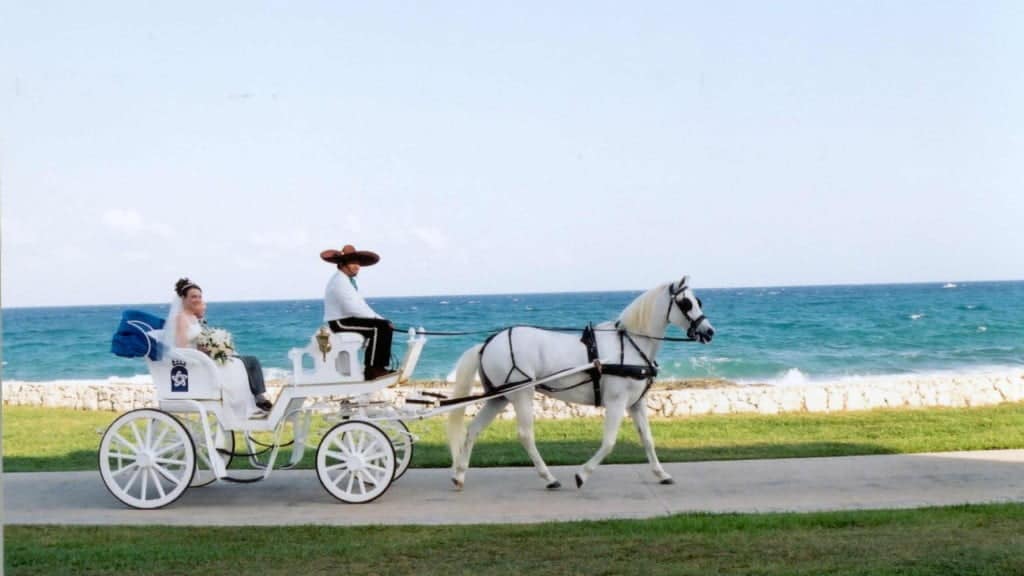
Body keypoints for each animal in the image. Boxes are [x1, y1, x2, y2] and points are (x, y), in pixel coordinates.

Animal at [452, 276, 716, 485]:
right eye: (686, 303)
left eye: (698, 301)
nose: (709, 331)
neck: (630, 344)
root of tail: (486, 344)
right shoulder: (617, 402)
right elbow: (609, 442)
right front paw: (582, 474)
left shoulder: (635, 403)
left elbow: (648, 440)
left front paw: (661, 474)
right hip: (520, 394)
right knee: (525, 435)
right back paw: (549, 478)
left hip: (500, 397)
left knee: (473, 429)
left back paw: (460, 475)